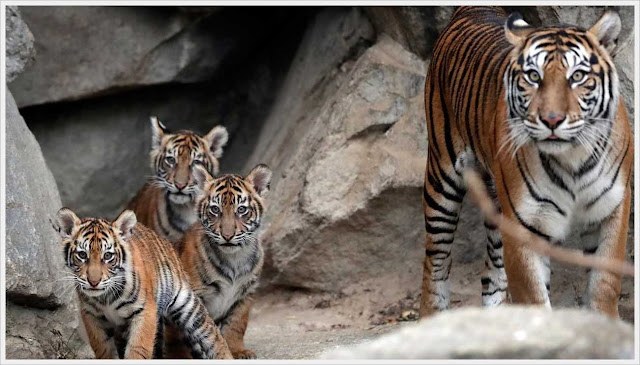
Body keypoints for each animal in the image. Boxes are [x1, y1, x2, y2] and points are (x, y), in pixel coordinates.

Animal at [52, 208, 232, 358]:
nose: (94, 281)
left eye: (108, 256)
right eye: (82, 255)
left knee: (212, 336)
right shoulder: (92, 316)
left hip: (187, 305)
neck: (105, 297)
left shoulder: (144, 311)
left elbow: (138, 349)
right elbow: (104, 350)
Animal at [420, 7, 632, 318]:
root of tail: (474, 8)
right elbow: (534, 298)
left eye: (577, 76)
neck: (572, 158)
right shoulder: (525, 225)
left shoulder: (610, 210)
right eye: (533, 76)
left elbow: (603, 285)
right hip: (442, 180)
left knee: (492, 272)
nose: (552, 119)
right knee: (435, 264)